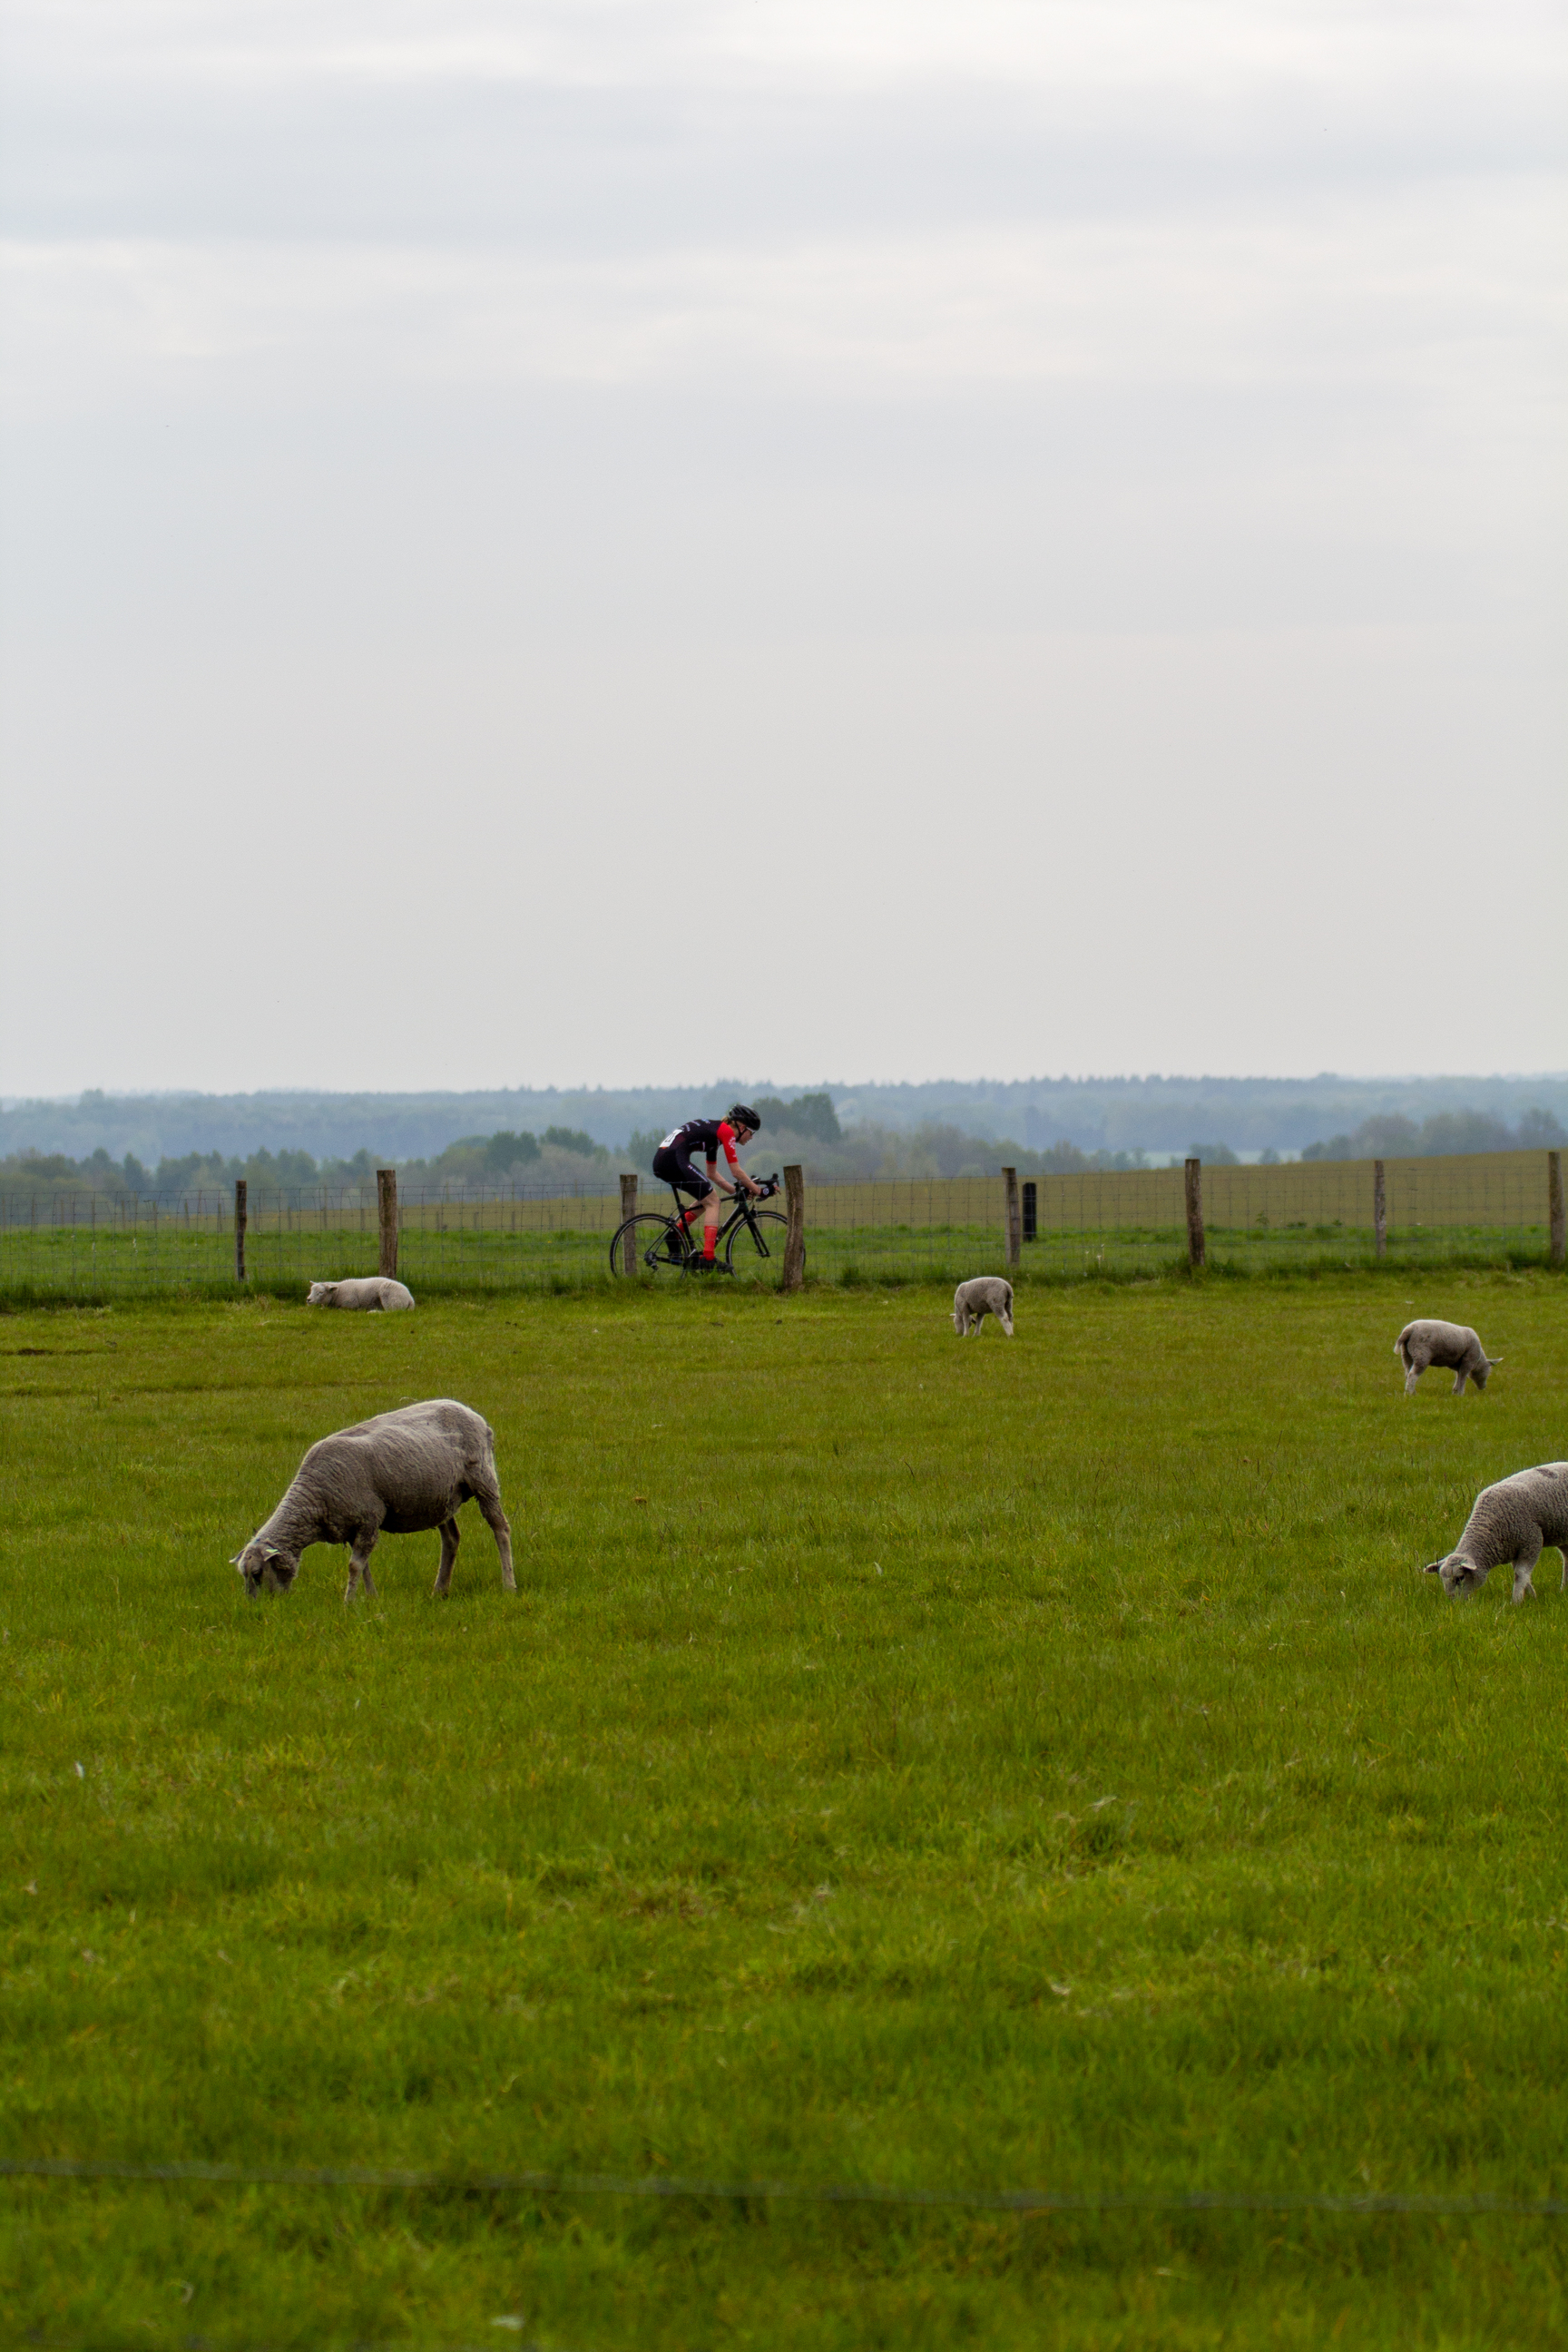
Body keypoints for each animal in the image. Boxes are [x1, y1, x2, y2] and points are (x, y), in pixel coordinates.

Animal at [230, 1392, 516, 1599]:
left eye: (257, 1573)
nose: (258, 1608)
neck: (313, 1500)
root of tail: (470, 1412)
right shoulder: (351, 1526)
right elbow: (363, 1565)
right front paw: (371, 1598)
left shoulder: (369, 1518)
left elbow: (354, 1565)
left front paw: (349, 1602)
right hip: (441, 1497)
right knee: (451, 1538)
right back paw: (440, 1590)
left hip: (483, 1479)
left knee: (500, 1528)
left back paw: (508, 1585)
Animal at [1419, 1458, 1568, 1608]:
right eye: (1442, 1579)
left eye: (1460, 1578)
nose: (1454, 1604)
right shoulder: (1514, 1548)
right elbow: (1520, 1574)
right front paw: (1532, 1597)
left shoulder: (1531, 1540)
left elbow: (1520, 1574)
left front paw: (1516, 1602)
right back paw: (1564, 1590)